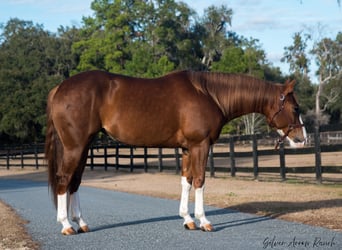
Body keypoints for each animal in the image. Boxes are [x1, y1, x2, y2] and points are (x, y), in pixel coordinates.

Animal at [44, 70, 304, 234]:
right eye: (295, 108)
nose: (302, 139)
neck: (210, 95)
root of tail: (59, 88)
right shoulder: (201, 145)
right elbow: (199, 181)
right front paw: (204, 221)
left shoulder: (188, 148)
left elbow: (186, 181)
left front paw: (188, 220)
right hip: (75, 146)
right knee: (64, 179)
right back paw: (66, 225)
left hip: (84, 146)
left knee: (75, 182)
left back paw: (81, 223)